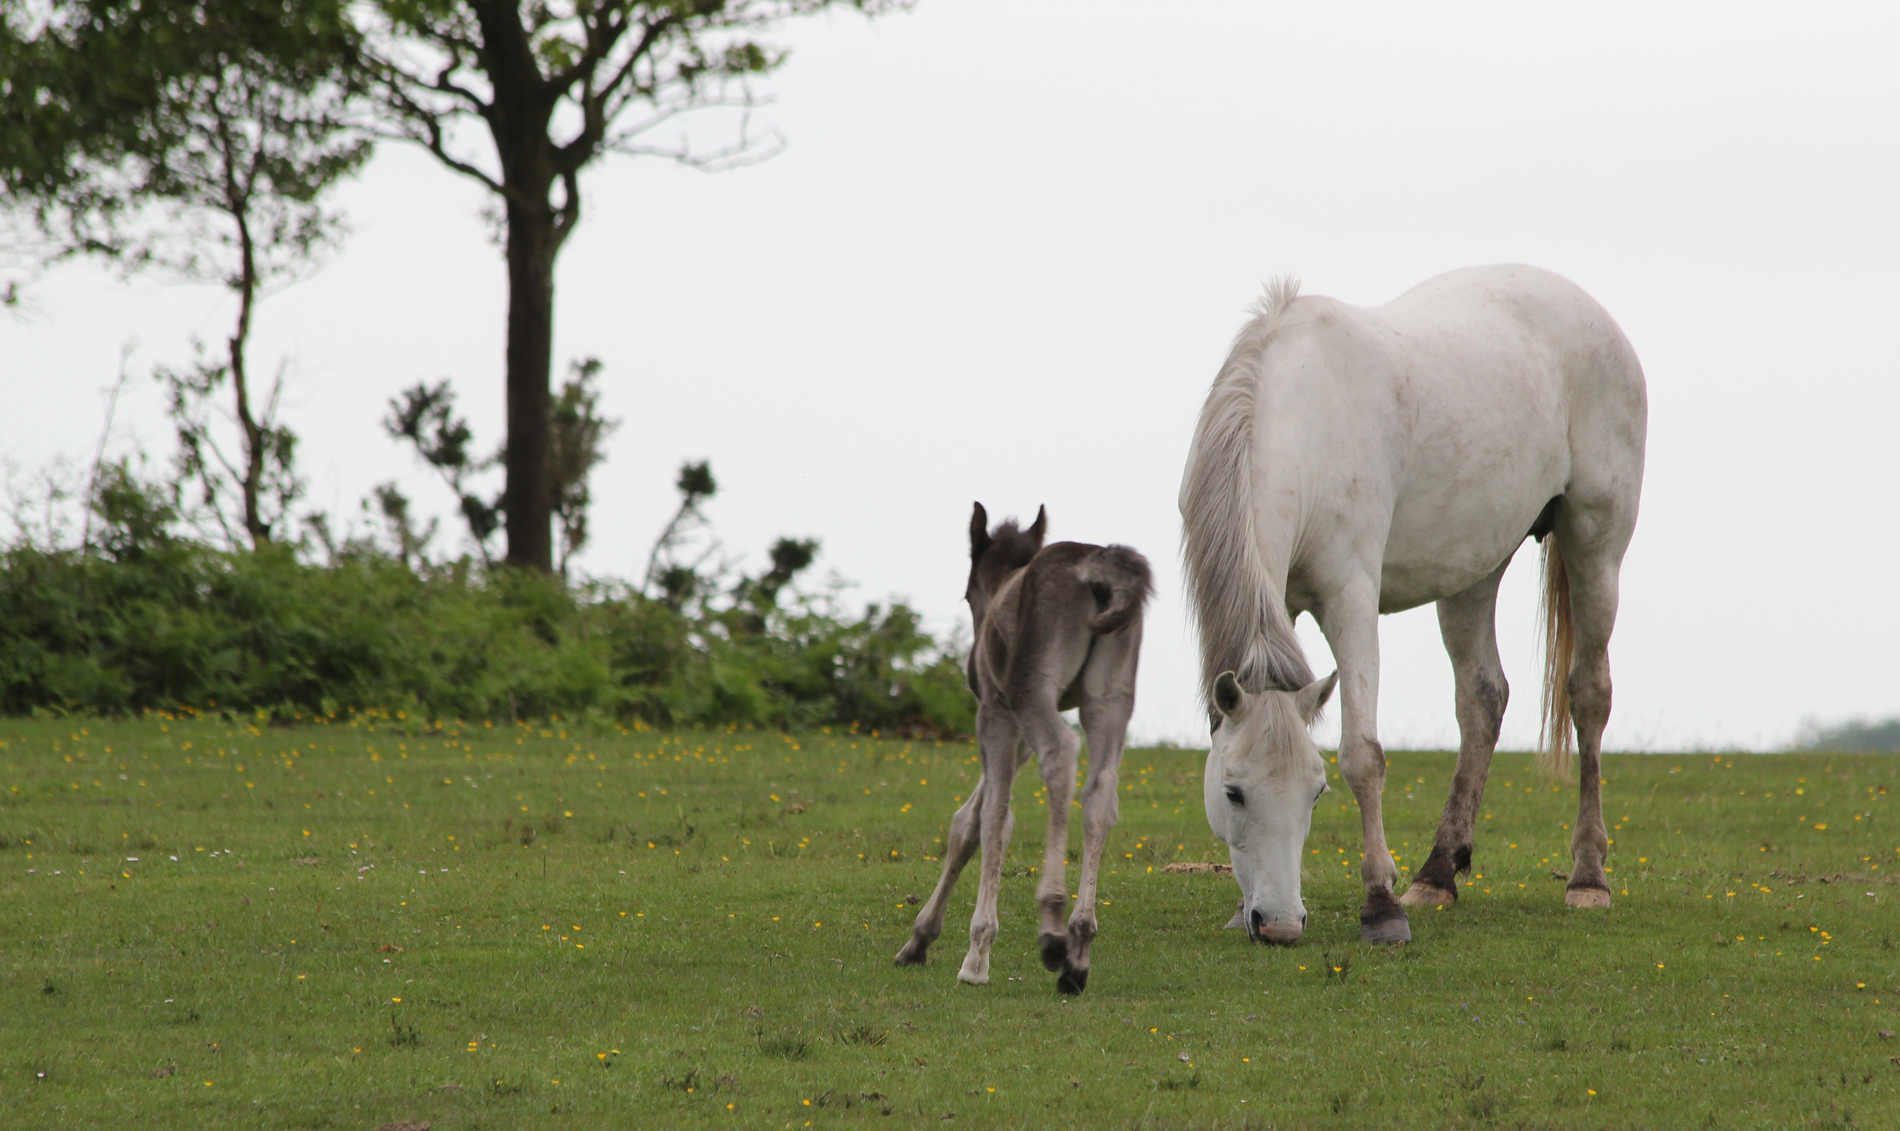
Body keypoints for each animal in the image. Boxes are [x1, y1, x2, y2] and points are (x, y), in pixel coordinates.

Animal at [894, 504, 1153, 994]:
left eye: (966, 594)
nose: (974, 663)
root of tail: (1100, 565)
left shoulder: (995, 712)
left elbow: (990, 817)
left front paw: (974, 954)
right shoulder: (1014, 731)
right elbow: (973, 818)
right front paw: (920, 942)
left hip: (1031, 689)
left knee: (1062, 754)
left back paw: (1053, 928)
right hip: (1111, 698)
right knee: (1101, 792)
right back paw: (1079, 951)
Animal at [1180, 265, 1646, 946]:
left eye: (1316, 793)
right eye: (1233, 792)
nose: (1281, 924)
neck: (1299, 416)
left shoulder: (1350, 596)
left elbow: (1362, 755)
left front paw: (1380, 905)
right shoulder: (1281, 604)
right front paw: (1242, 910)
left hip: (1595, 545)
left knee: (1589, 694)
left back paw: (1588, 876)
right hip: (1473, 567)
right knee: (1483, 700)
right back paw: (1438, 873)